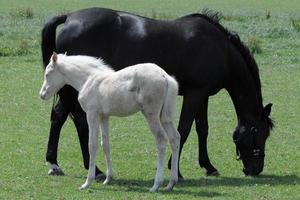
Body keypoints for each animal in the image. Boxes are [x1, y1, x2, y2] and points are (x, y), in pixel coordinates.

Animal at [39, 52, 180, 192]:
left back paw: (156, 184)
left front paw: (87, 182)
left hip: (151, 114)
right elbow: (105, 144)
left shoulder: (92, 114)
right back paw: (171, 183)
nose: (42, 95)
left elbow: (92, 145)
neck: (88, 80)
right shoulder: (104, 116)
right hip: (165, 116)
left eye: (48, 74)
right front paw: (108, 178)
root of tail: (165, 76)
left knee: (161, 139)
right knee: (175, 137)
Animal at [41, 7, 274, 178]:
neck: (220, 49)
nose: (255, 169)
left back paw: (59, 165)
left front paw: (208, 166)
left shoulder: (202, 95)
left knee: (60, 116)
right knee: (75, 119)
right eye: (259, 132)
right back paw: (90, 169)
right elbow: (184, 129)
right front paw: (176, 170)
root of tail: (69, 17)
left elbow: (202, 129)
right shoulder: (195, 94)